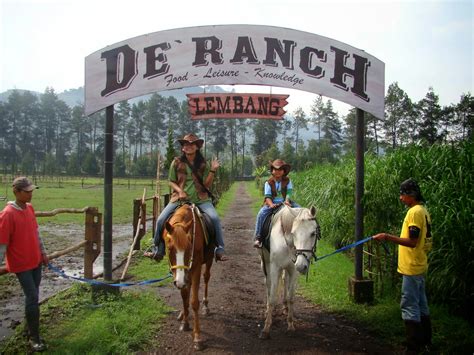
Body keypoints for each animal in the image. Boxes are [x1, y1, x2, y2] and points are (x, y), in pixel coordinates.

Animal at [164, 204, 214, 352]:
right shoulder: (179, 275)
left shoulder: (195, 268)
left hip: (209, 260)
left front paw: (197, 337)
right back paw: (182, 313)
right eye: (170, 248)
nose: (180, 281)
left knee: (206, 277)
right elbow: (184, 295)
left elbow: (194, 302)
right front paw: (185, 322)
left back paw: (205, 306)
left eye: (188, 248)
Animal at [258, 206, 320, 340]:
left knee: (285, 280)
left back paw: (285, 307)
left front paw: (291, 325)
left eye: (313, 233)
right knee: (268, 283)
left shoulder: (294, 270)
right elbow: (272, 297)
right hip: (265, 262)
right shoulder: (275, 268)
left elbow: (291, 297)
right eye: (293, 233)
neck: (288, 243)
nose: (301, 266)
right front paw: (266, 329)